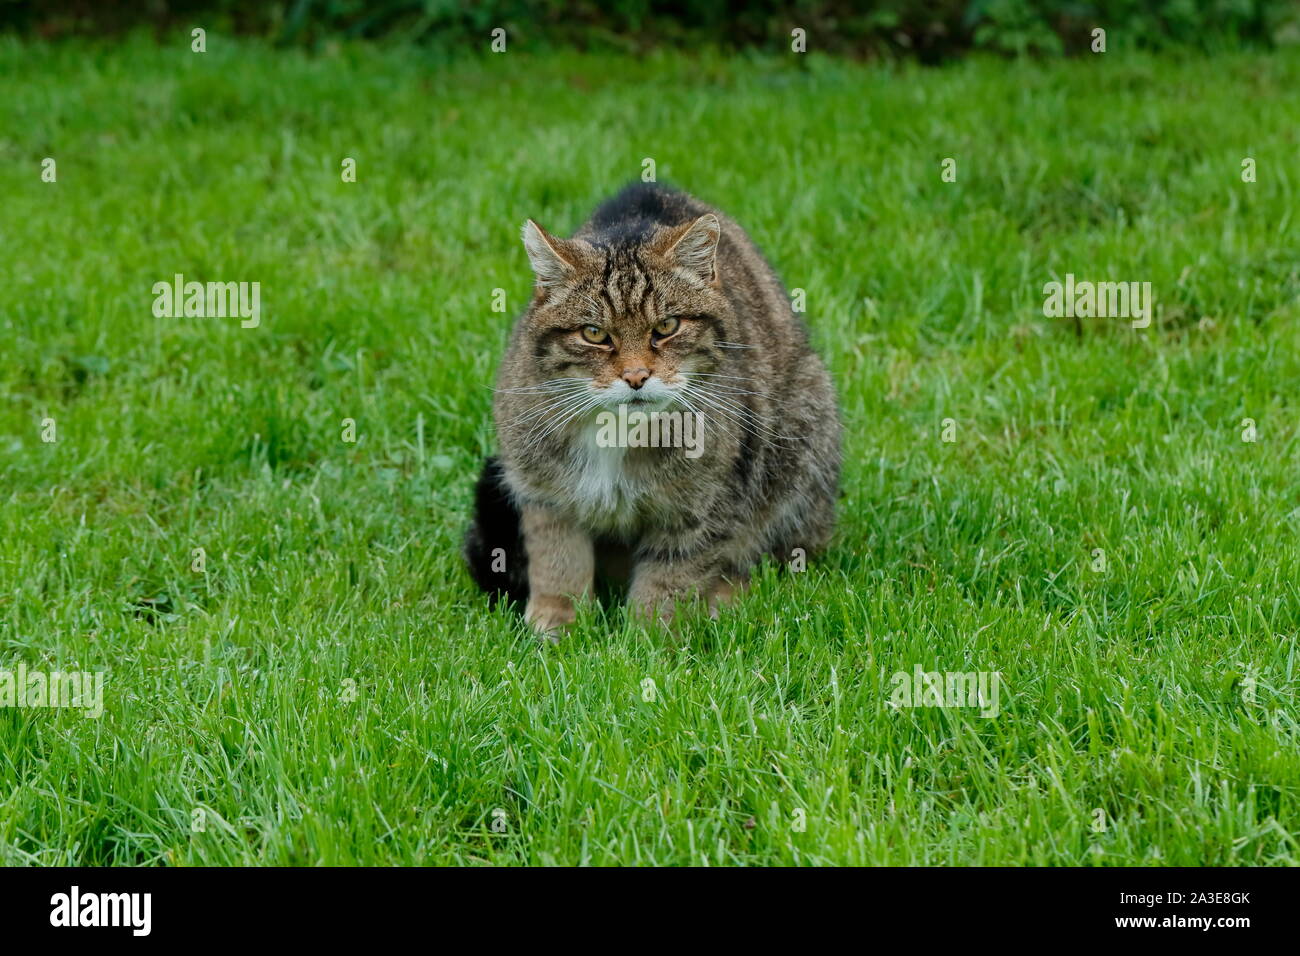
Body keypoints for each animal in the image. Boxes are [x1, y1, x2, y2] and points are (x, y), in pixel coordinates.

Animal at [467, 184, 842, 639]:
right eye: (594, 334)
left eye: (666, 327)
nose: (636, 376)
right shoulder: (545, 495)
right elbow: (559, 561)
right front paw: (559, 625)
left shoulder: (700, 508)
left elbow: (670, 577)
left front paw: (649, 638)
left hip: (804, 433)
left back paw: (725, 598)